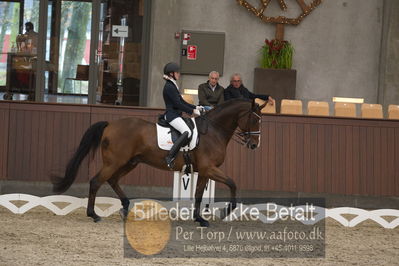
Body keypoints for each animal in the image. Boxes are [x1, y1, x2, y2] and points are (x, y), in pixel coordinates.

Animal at [52, 98, 266, 228]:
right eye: (254, 120)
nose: (254, 145)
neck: (213, 131)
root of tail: (110, 125)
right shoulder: (209, 169)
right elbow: (232, 183)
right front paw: (225, 211)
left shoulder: (204, 171)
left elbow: (198, 194)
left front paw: (199, 218)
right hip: (115, 162)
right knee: (96, 181)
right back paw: (94, 214)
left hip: (130, 162)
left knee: (112, 181)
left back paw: (125, 207)